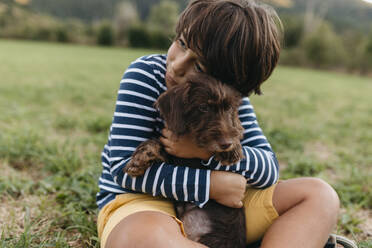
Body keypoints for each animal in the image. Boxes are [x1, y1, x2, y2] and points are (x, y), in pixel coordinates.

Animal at [125, 74, 247, 248]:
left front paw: (234, 149)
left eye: (229, 109)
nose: (226, 143)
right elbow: (154, 142)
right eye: (203, 107)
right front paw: (139, 159)